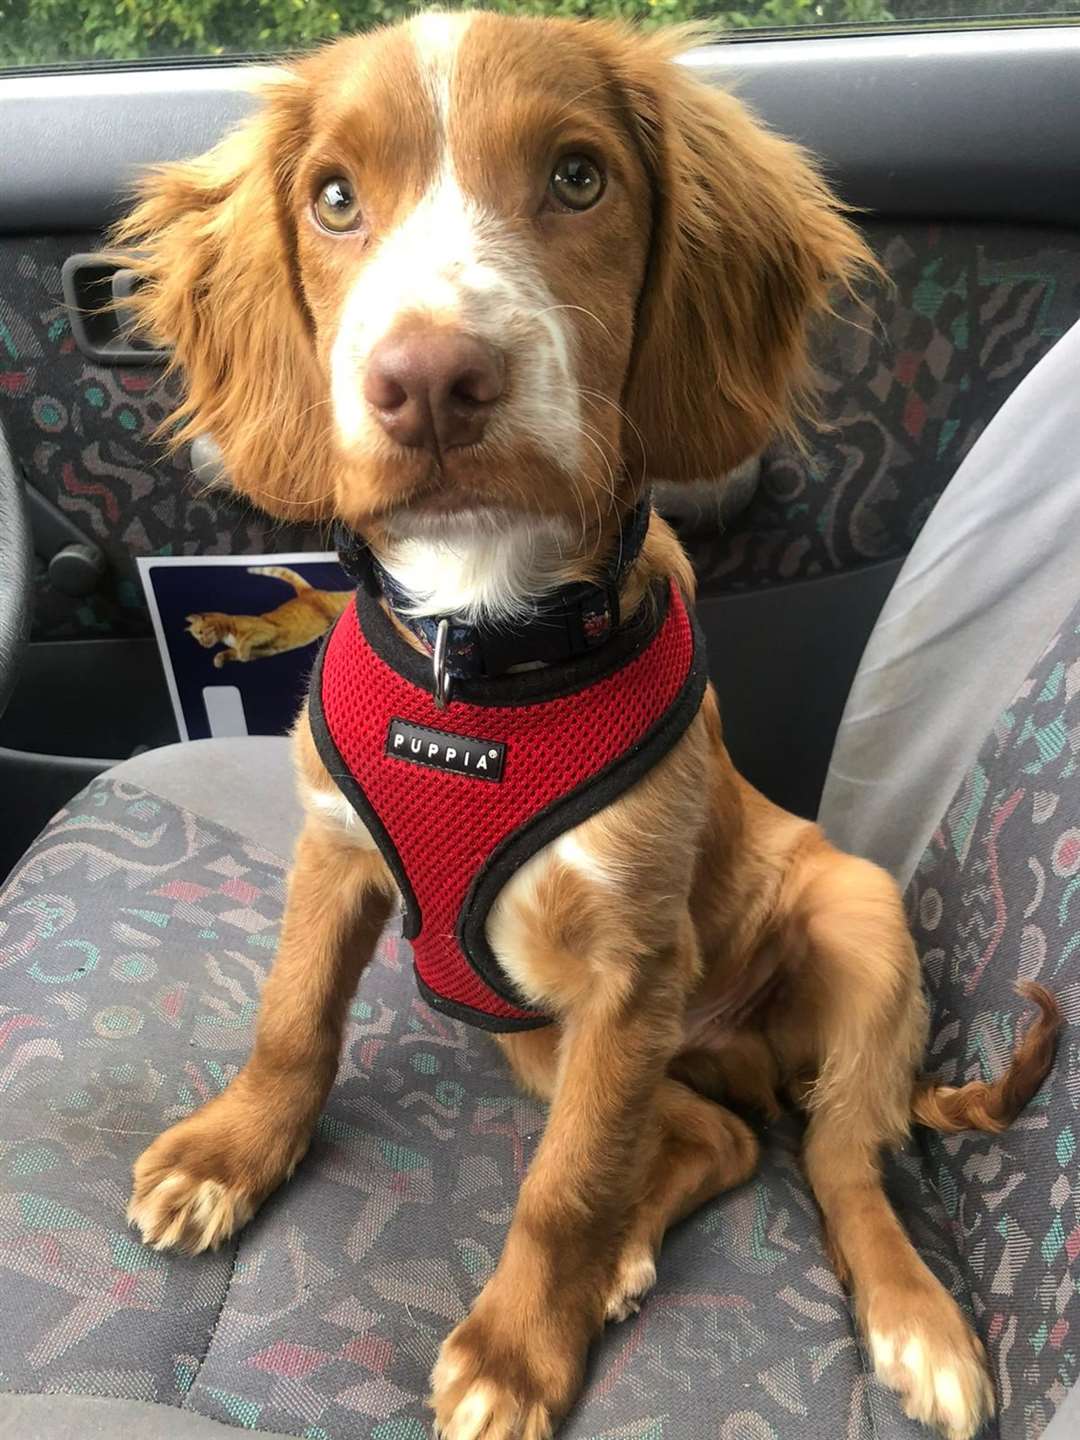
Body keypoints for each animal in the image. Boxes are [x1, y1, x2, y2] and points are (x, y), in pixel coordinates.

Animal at [114, 14, 1059, 1440]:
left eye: (577, 179)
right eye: (333, 198)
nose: (431, 382)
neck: (480, 645)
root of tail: (743, 1058)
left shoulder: (627, 967)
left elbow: (561, 1192)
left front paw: (516, 1352)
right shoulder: (335, 853)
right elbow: (292, 1021)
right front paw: (232, 1152)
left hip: (854, 929)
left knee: (836, 1159)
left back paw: (916, 1325)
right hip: (539, 1041)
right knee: (718, 1139)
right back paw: (634, 1253)